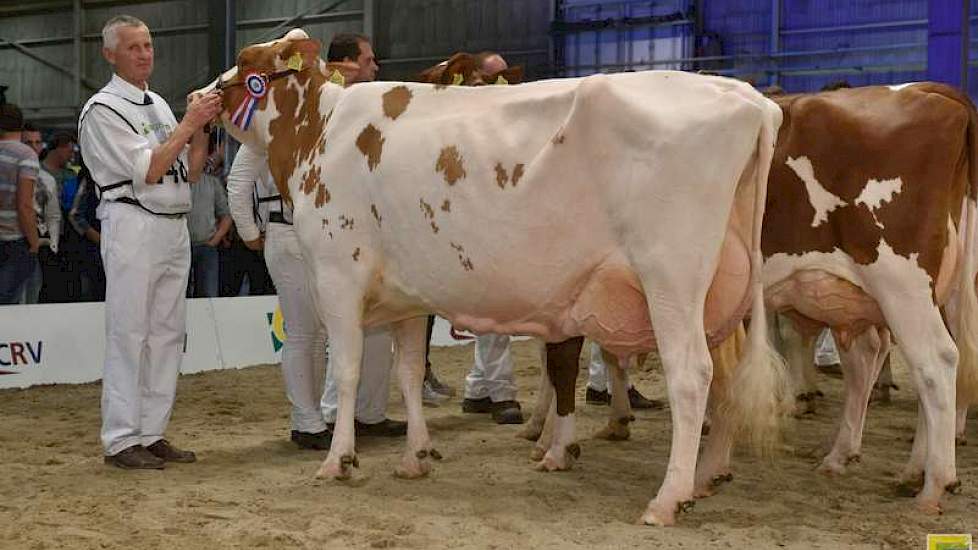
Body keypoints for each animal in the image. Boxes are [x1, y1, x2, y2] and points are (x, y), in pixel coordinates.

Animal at [202, 29, 780, 528]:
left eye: (249, 62)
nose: (198, 96)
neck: (321, 131)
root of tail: (748, 98)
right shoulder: (407, 298)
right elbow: (407, 374)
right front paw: (415, 456)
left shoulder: (337, 274)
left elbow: (346, 370)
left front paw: (339, 459)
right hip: (720, 296)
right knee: (725, 379)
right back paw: (706, 477)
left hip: (671, 280)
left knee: (691, 376)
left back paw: (667, 498)